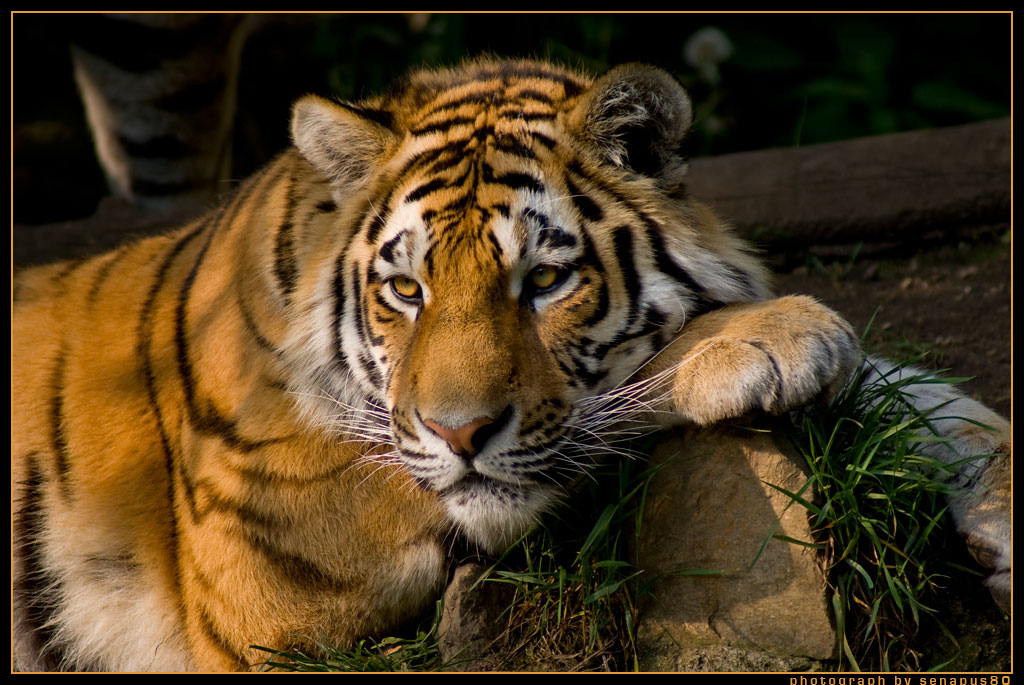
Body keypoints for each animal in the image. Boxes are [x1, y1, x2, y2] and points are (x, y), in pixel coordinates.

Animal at [12, 57, 1011, 667]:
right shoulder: (273, 530)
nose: (461, 434)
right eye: (405, 289)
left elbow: (928, 397)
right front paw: (779, 331)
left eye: (545, 280)